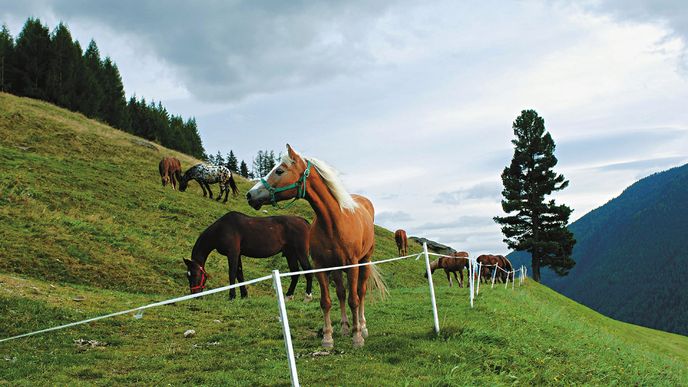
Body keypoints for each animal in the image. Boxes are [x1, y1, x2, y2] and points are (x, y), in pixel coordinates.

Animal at [181, 212, 314, 300]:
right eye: (188, 275)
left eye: (194, 274)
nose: (194, 294)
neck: (221, 229)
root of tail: (303, 221)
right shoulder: (238, 254)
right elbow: (239, 274)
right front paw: (244, 295)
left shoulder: (232, 253)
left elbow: (232, 274)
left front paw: (232, 296)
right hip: (290, 254)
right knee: (295, 273)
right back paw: (288, 296)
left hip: (300, 252)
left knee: (308, 270)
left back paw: (307, 296)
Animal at [247, 145, 388, 348]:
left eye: (279, 171)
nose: (250, 195)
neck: (333, 222)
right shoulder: (320, 266)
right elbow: (326, 301)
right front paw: (328, 337)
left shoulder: (352, 266)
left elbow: (354, 299)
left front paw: (357, 337)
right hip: (336, 268)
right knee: (341, 293)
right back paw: (344, 327)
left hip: (364, 262)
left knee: (360, 293)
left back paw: (362, 326)